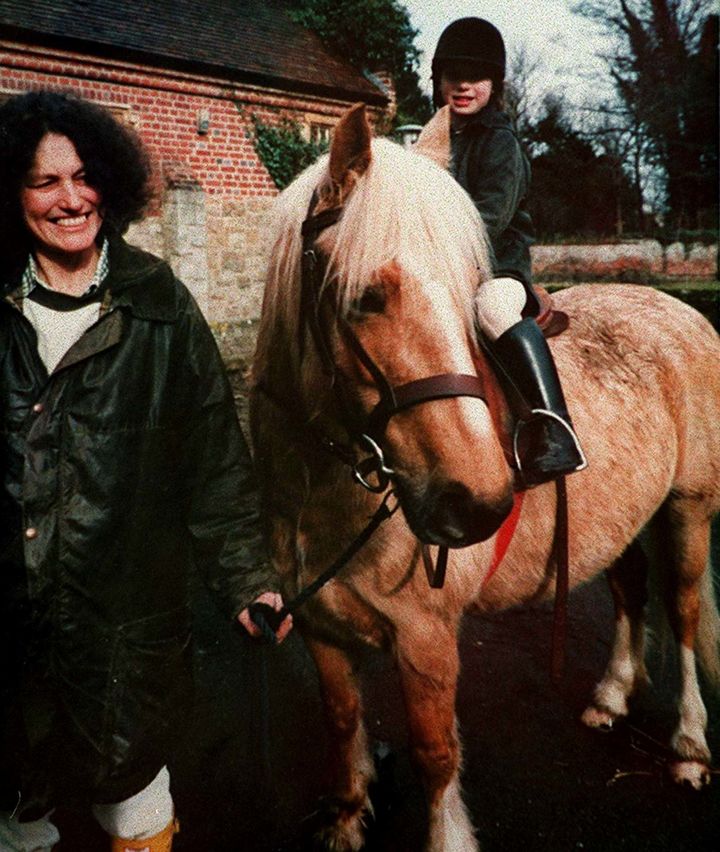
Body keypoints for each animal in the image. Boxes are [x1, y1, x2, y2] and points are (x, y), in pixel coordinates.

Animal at [250, 106, 720, 852]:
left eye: (464, 288)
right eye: (366, 297)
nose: (476, 503)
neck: (321, 490)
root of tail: (680, 309)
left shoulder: (426, 640)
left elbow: (436, 753)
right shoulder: (320, 626)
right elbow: (342, 717)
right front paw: (348, 816)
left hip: (687, 509)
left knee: (681, 611)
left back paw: (690, 747)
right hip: (623, 518)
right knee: (629, 591)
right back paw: (611, 696)